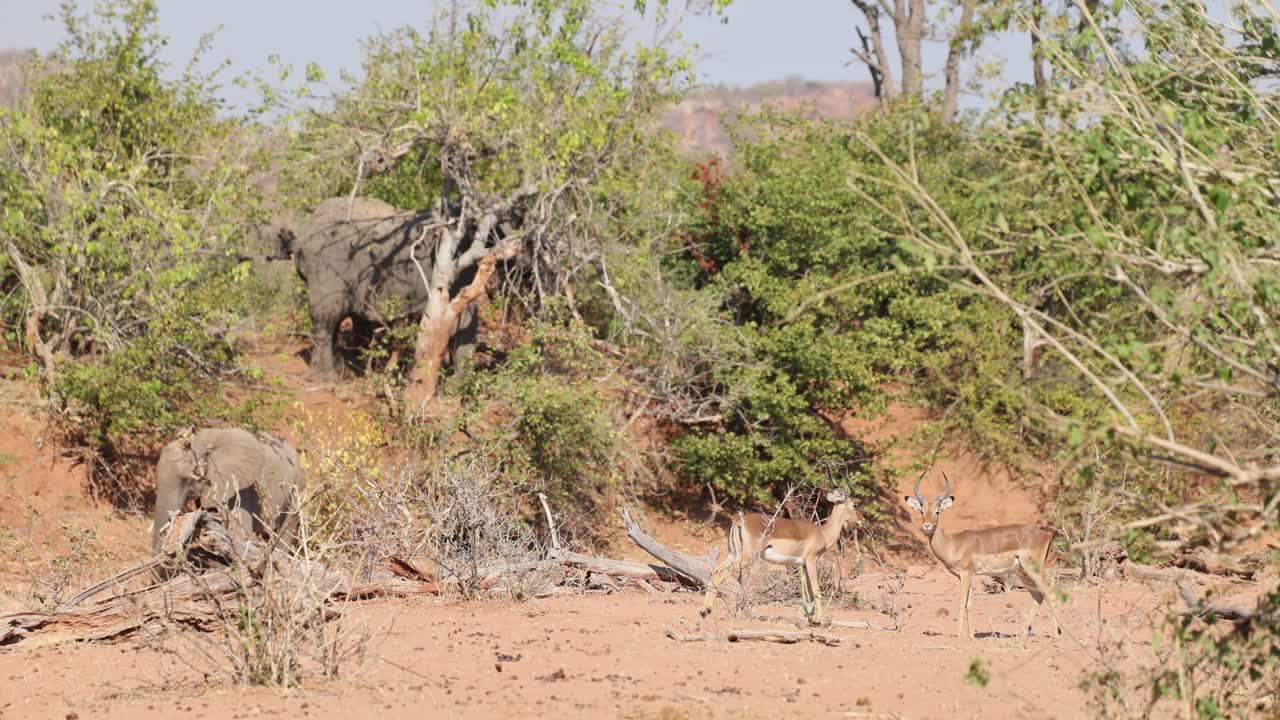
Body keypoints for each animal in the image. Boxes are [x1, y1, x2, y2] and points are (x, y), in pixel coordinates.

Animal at [701, 488, 861, 619]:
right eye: (854, 505)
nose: (861, 520)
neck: (822, 533)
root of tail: (738, 522)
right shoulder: (811, 560)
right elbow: (816, 589)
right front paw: (820, 619)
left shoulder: (802, 565)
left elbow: (808, 593)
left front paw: (810, 617)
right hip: (746, 558)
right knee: (721, 573)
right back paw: (707, 610)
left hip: (733, 555)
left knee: (715, 571)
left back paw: (704, 611)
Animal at [906, 472, 1061, 640]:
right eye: (922, 511)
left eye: (937, 511)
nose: (927, 526)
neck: (953, 543)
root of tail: (1045, 534)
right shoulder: (966, 576)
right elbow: (970, 604)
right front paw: (971, 635)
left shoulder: (965, 574)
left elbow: (962, 603)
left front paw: (960, 635)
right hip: (1023, 572)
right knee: (1038, 595)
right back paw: (1023, 634)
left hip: (1033, 570)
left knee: (1050, 593)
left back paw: (1057, 635)